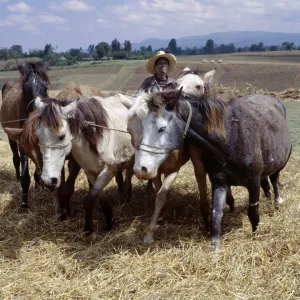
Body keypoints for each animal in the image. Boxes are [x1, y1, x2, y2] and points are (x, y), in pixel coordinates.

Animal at [0, 61, 49, 209]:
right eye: (24, 89)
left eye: (46, 87)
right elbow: (25, 174)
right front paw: (24, 202)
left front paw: (39, 182)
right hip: (11, 138)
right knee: (16, 159)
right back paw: (17, 178)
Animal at [33, 95, 135, 243]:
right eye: (38, 136)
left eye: (62, 136)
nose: (48, 181)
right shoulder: (91, 172)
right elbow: (101, 199)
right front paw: (109, 223)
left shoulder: (109, 170)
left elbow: (89, 199)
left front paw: (89, 232)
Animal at [130, 86, 292, 251]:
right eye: (142, 125)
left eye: (162, 128)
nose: (141, 169)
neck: (230, 136)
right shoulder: (219, 182)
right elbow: (216, 217)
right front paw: (214, 249)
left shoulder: (253, 182)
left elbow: (253, 213)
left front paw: (254, 237)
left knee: (274, 178)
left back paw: (278, 201)